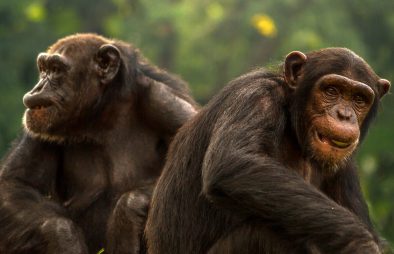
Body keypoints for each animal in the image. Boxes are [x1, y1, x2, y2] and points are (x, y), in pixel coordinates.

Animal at [0, 33, 197, 254]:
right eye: (43, 69)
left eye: (56, 70)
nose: (38, 88)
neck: (104, 112)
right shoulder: (37, 122)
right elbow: (16, 183)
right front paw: (64, 237)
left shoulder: (167, 104)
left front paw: (127, 213)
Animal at [145, 48, 390, 254]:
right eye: (331, 90)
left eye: (359, 99)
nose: (344, 115)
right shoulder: (257, 97)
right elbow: (233, 162)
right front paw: (360, 242)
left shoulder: (345, 166)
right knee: (268, 234)